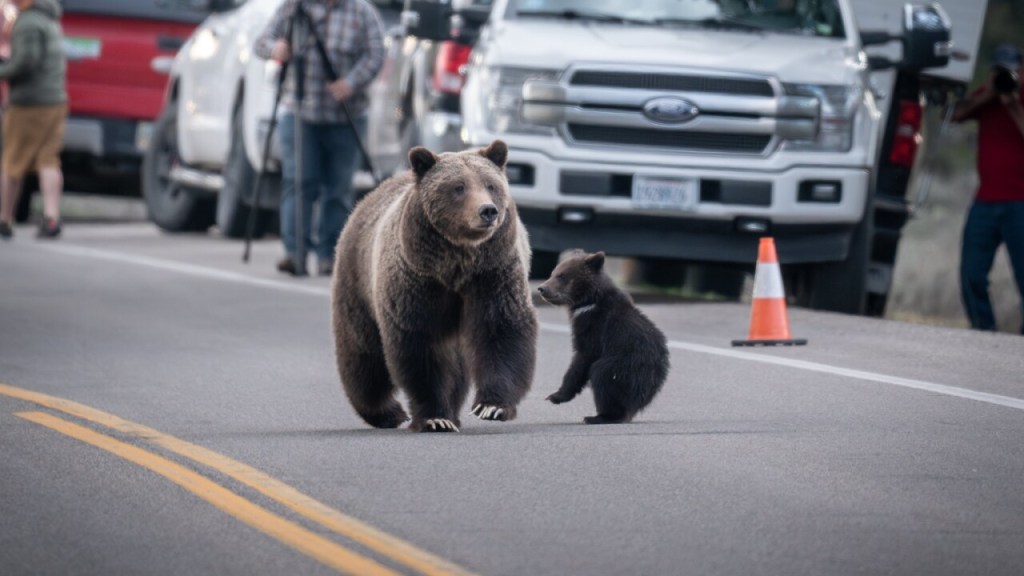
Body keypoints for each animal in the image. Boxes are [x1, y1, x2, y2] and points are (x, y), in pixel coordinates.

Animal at [330, 140, 537, 432]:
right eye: (458, 187)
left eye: (490, 185)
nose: (487, 211)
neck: (456, 264)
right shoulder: (417, 280)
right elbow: (420, 345)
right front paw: (434, 417)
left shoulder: (493, 273)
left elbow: (502, 329)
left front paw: (491, 406)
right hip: (358, 280)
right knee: (364, 353)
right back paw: (386, 412)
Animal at [537, 250, 670, 424]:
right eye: (553, 273)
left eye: (562, 275)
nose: (542, 288)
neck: (589, 301)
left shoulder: (595, 328)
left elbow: (582, 359)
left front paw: (556, 396)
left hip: (624, 366)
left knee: (603, 376)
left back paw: (598, 416)